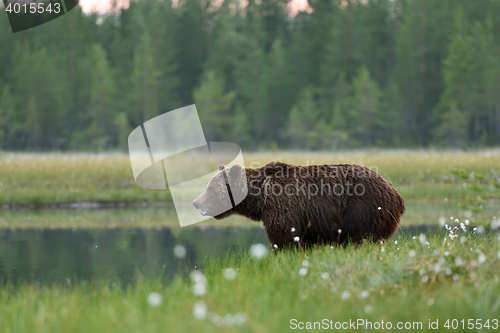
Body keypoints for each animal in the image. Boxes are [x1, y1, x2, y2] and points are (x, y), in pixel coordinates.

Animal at [191, 161, 406, 246]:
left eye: (210, 189)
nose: (195, 202)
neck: (261, 198)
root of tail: (398, 195)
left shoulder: (284, 205)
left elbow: (283, 236)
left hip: (364, 209)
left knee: (360, 237)